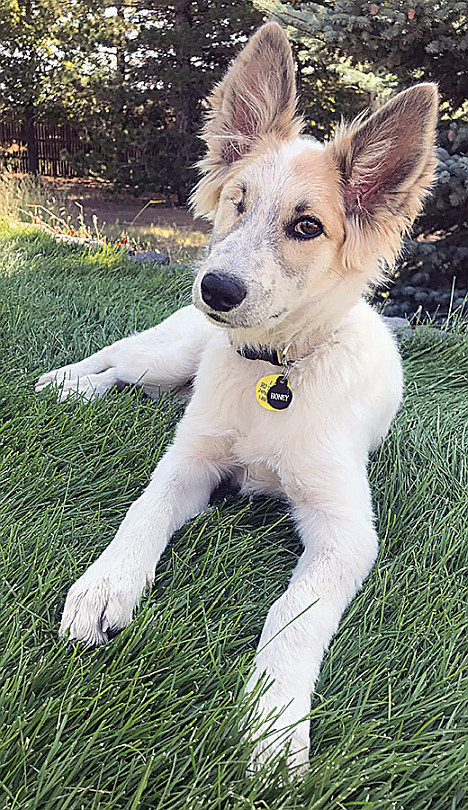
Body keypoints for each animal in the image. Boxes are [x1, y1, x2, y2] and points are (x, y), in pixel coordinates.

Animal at [36, 22, 438, 772]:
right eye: (237, 201)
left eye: (308, 226)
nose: (215, 290)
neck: (273, 373)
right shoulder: (188, 462)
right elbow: (141, 513)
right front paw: (105, 587)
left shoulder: (346, 530)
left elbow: (294, 614)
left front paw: (276, 723)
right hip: (167, 355)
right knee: (120, 363)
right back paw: (70, 383)